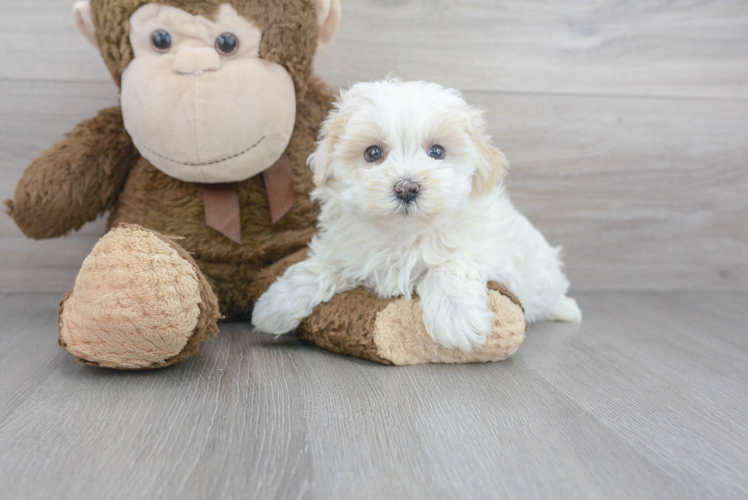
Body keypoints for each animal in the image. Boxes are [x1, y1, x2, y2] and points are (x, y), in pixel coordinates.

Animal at [254, 79, 580, 352]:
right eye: (373, 153)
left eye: (437, 151)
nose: (407, 188)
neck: (404, 234)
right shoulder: (347, 248)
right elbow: (321, 267)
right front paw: (277, 302)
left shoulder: (487, 249)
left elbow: (448, 266)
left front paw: (457, 315)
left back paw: (566, 309)